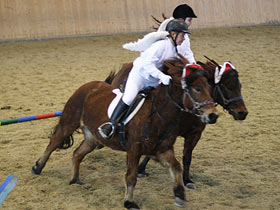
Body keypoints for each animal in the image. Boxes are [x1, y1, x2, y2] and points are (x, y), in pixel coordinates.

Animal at [31, 57, 218, 208]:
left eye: (209, 86)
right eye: (197, 89)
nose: (213, 115)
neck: (159, 114)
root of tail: (88, 85)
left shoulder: (161, 150)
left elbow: (176, 167)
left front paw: (179, 194)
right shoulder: (134, 149)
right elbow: (131, 176)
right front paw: (129, 202)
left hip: (93, 137)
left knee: (77, 153)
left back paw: (75, 179)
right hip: (69, 121)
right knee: (54, 142)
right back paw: (38, 167)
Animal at [111, 55, 247, 189]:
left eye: (240, 86)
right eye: (228, 87)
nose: (243, 113)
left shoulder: (194, 134)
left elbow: (187, 158)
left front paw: (187, 180)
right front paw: (140, 169)